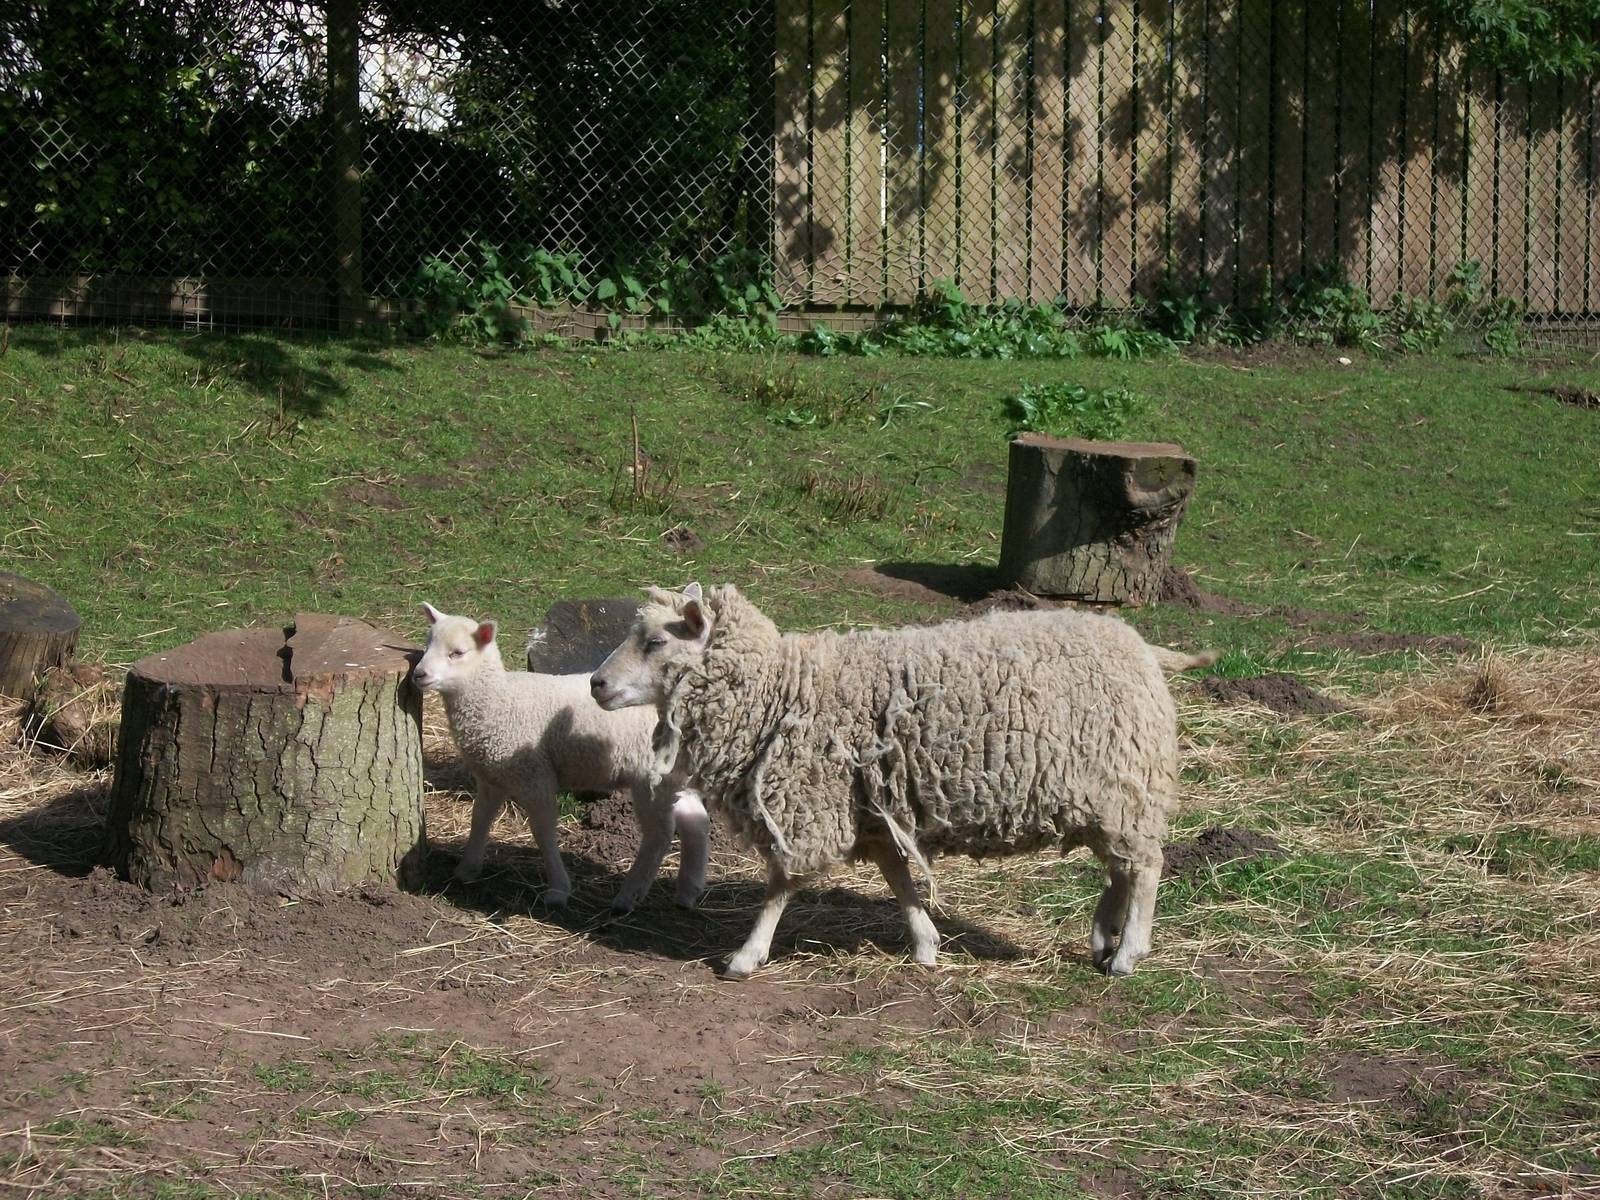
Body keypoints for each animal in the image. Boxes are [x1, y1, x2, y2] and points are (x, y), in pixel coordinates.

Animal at [413, 602, 709, 912]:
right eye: (427, 644)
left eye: (457, 652)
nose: (418, 674)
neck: (497, 698)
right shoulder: (492, 776)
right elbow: (479, 818)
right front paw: (466, 870)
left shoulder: (533, 775)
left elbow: (543, 831)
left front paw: (558, 890)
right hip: (677, 773)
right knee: (696, 822)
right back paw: (688, 892)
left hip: (651, 776)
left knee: (659, 835)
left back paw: (628, 896)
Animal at [590, 583, 1213, 979]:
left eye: (656, 642)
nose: (596, 684)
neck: (781, 691)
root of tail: (1140, 646)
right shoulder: (870, 808)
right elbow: (896, 875)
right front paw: (926, 944)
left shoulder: (809, 802)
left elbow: (780, 885)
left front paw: (746, 956)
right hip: (1109, 793)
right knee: (1122, 869)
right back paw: (1103, 938)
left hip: (1124, 783)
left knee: (1146, 867)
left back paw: (1129, 953)